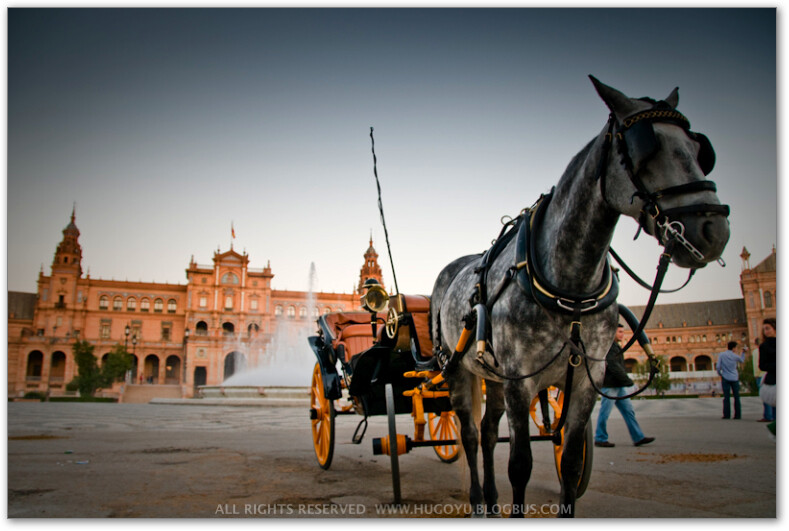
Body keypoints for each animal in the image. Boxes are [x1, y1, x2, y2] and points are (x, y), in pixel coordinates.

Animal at [428, 77, 728, 516]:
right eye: (645, 148)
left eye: (699, 149)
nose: (712, 229)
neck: (571, 286)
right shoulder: (520, 381)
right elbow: (520, 465)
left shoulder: (588, 379)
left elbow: (569, 463)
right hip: (458, 370)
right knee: (468, 435)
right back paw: (479, 502)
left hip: (493, 378)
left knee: (487, 433)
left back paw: (494, 501)